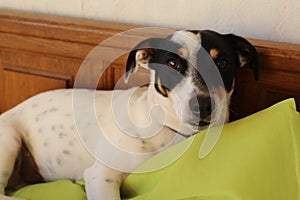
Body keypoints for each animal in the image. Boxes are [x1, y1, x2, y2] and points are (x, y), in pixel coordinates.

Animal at [0, 28, 258, 199]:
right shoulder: (100, 175)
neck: (169, 132)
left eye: (222, 63)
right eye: (172, 63)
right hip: (10, 139)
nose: (203, 106)